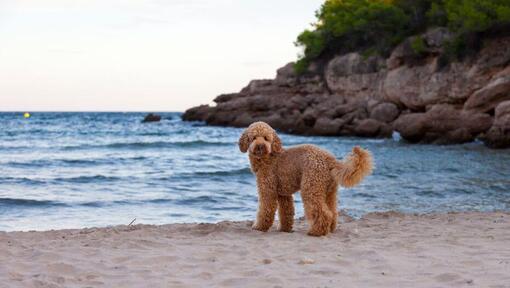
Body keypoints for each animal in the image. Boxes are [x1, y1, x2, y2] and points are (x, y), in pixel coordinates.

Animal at [237, 121, 372, 236]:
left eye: (266, 138)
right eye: (254, 138)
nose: (260, 146)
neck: (268, 157)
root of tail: (330, 159)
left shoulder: (268, 190)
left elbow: (265, 210)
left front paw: (259, 227)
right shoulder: (283, 194)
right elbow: (286, 212)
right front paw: (284, 229)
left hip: (311, 187)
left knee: (323, 212)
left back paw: (316, 232)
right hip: (329, 191)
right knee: (333, 211)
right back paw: (330, 229)